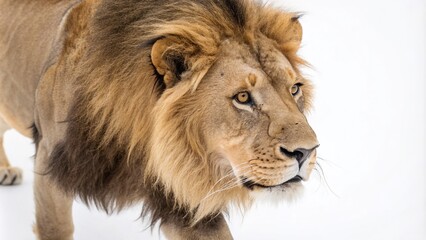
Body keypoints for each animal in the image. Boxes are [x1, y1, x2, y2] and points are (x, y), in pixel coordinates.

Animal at [0, 0, 320, 239]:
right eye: (242, 97)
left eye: (294, 89)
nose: (306, 152)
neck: (139, 141)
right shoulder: (50, 161)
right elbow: (57, 227)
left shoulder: (179, 194)